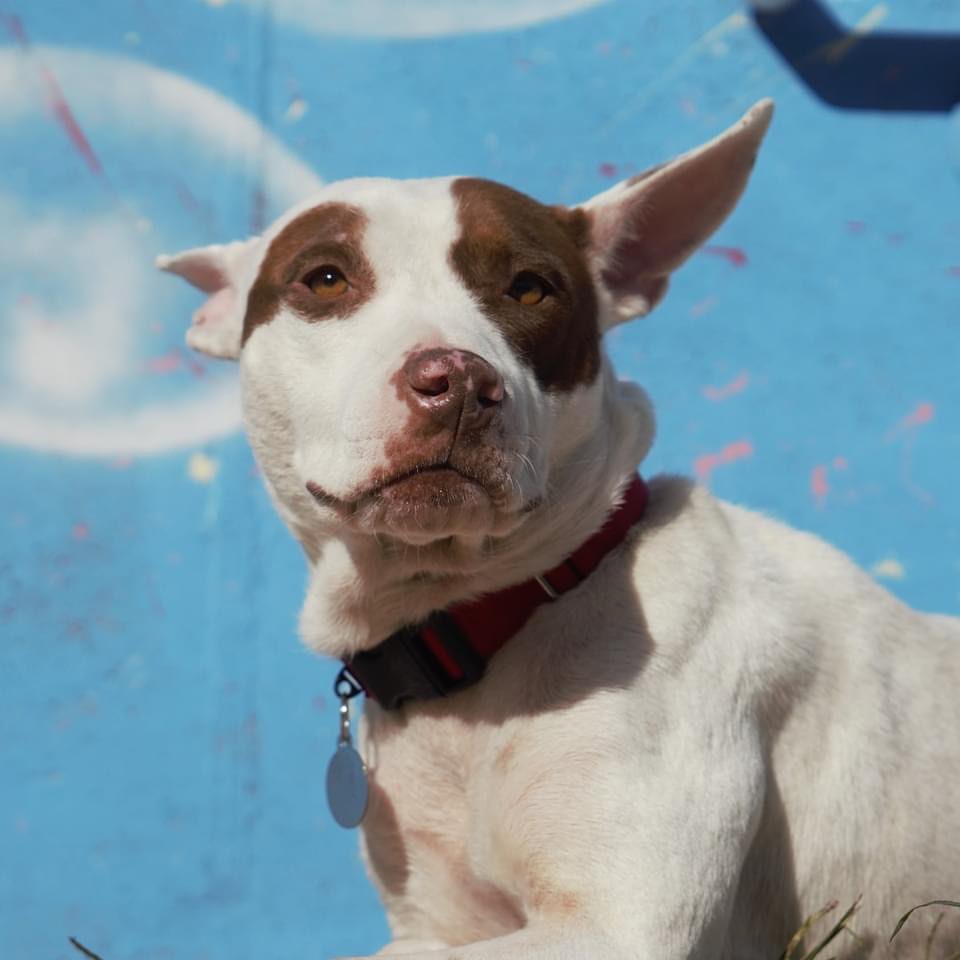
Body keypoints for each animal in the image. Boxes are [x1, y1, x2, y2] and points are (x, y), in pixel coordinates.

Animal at [159, 101, 960, 956]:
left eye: (530, 288)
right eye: (326, 279)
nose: (457, 383)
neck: (482, 629)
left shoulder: (613, 924)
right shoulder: (436, 916)